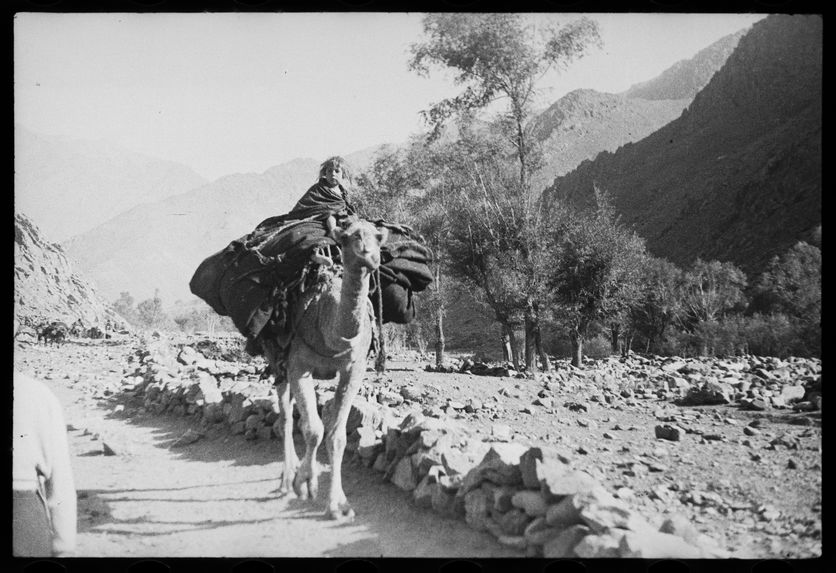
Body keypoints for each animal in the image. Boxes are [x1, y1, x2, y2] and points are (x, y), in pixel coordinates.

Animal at [262, 216, 386, 520]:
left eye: (378, 237)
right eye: (348, 237)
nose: (371, 257)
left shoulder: (353, 369)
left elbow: (336, 435)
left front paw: (339, 505)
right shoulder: (299, 365)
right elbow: (313, 430)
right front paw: (304, 483)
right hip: (277, 360)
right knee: (285, 417)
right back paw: (286, 481)